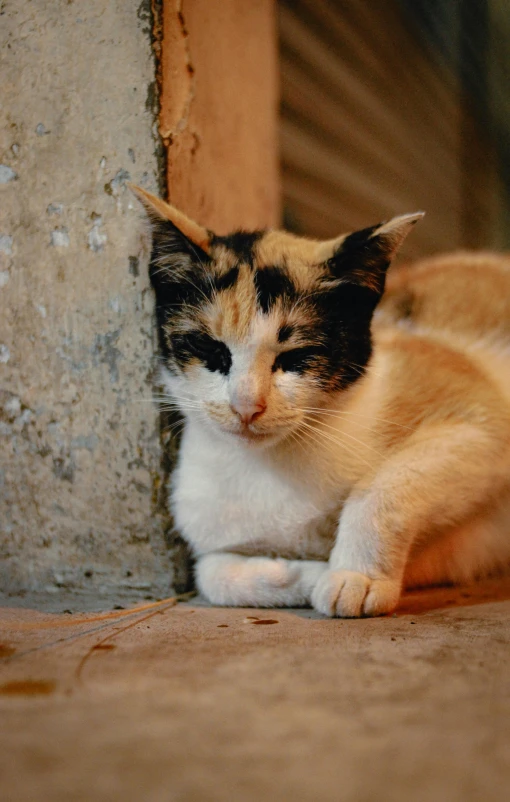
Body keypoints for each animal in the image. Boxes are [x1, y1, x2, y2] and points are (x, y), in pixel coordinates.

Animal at [130, 184, 510, 616]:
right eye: (210, 350)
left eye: (296, 357)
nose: (246, 407)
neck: (270, 466)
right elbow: (211, 575)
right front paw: (307, 576)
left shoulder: (485, 424)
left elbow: (384, 486)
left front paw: (354, 575)